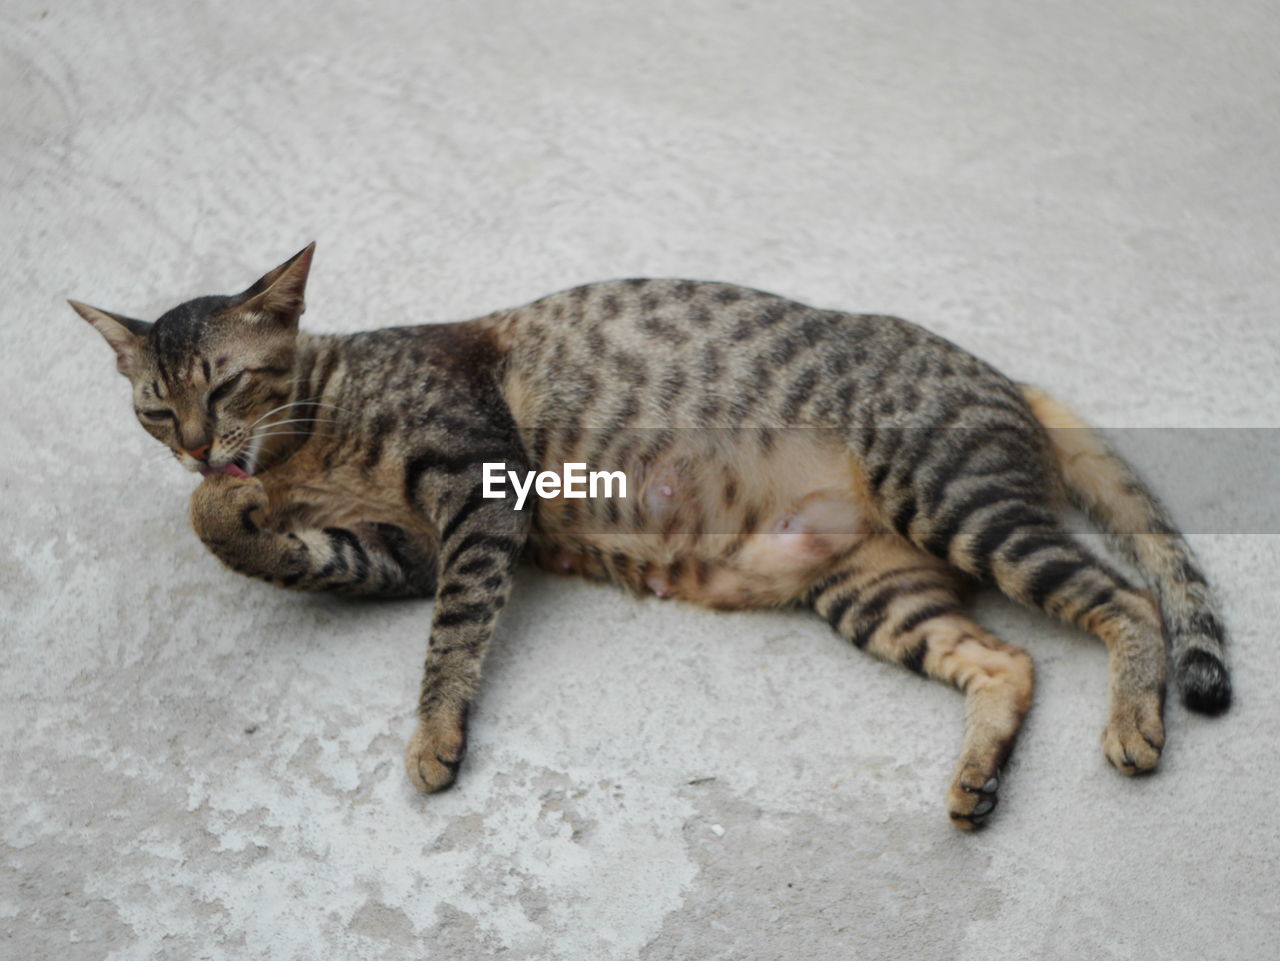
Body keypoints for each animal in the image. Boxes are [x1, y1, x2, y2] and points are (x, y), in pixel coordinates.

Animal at [70, 244, 1228, 829]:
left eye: (225, 384)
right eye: (157, 410)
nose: (199, 446)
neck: (314, 433)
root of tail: (1008, 380)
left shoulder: (479, 494)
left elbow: (454, 632)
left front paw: (434, 734)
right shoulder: (393, 552)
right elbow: (270, 542)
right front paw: (227, 507)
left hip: (954, 500)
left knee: (1125, 599)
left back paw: (1134, 720)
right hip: (872, 590)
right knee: (1007, 659)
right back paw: (978, 776)